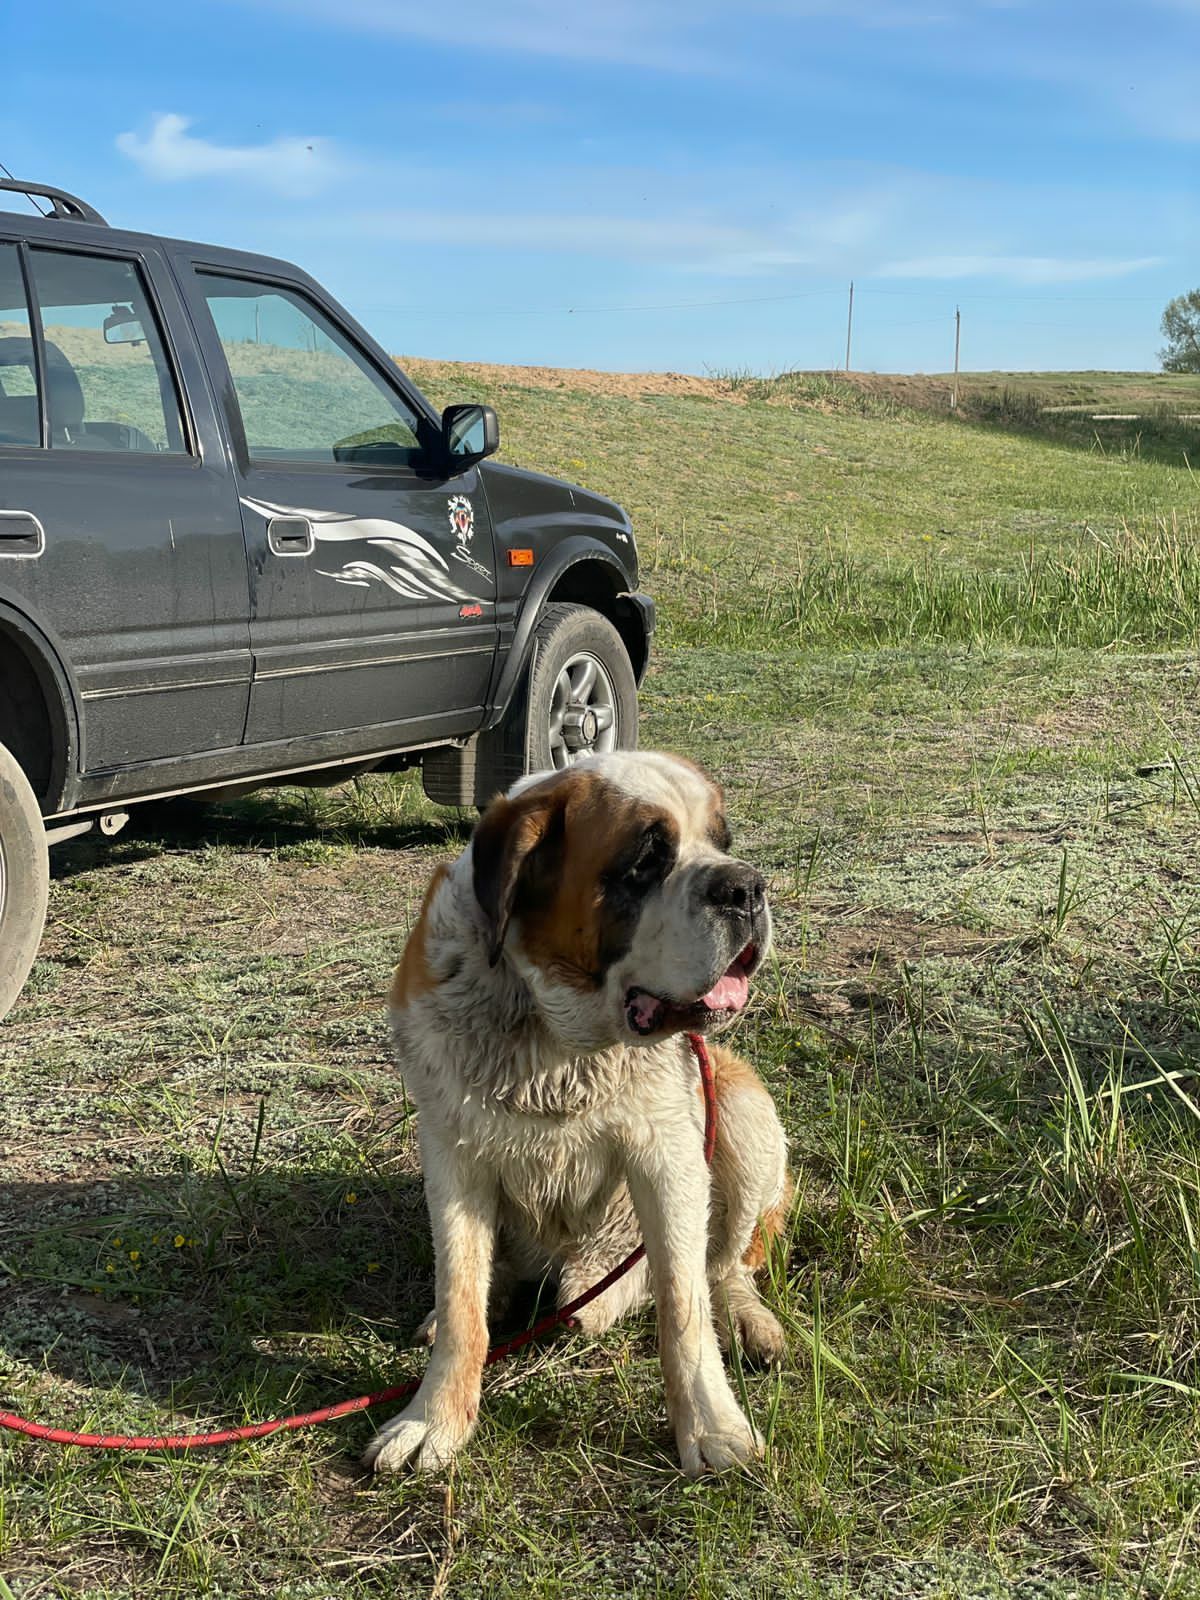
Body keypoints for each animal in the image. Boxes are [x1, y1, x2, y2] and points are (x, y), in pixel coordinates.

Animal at [366, 748, 800, 1472]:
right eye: (646, 860)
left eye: (723, 842)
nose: (745, 887)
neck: (556, 1037)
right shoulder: (452, 1155)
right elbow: (461, 1300)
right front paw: (434, 1418)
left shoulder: (670, 1156)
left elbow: (683, 1303)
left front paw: (710, 1428)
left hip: (739, 1110)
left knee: (724, 1266)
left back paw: (748, 1320)